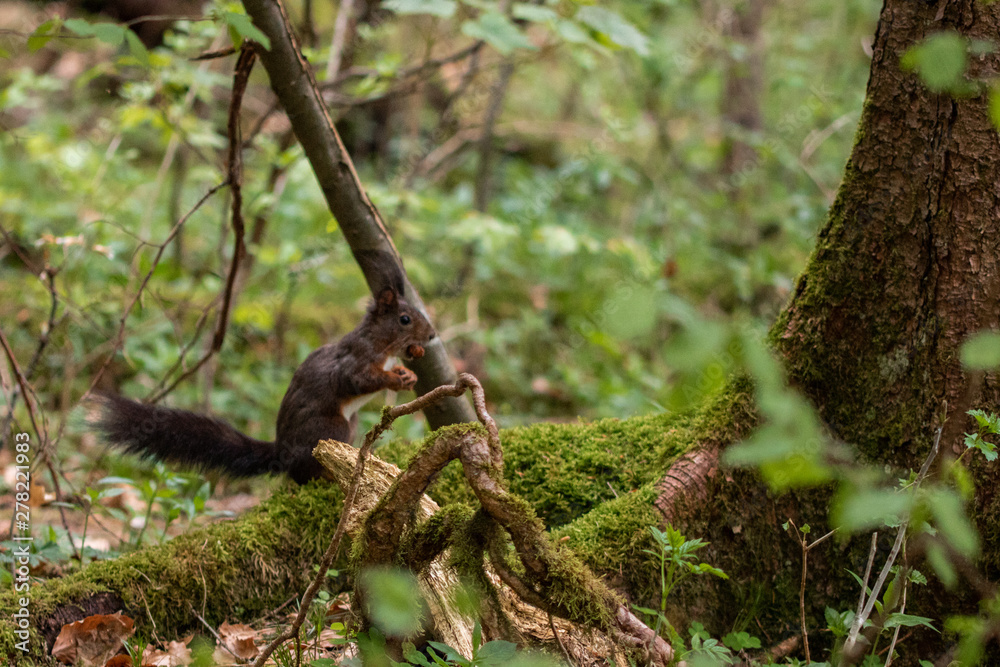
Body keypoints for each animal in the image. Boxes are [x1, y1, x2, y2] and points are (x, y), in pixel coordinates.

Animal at [92, 282, 436, 483]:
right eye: (405, 319)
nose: (432, 336)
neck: (382, 344)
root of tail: (281, 450)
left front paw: (409, 376)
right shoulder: (355, 360)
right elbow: (357, 380)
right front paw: (394, 378)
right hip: (332, 427)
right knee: (300, 473)